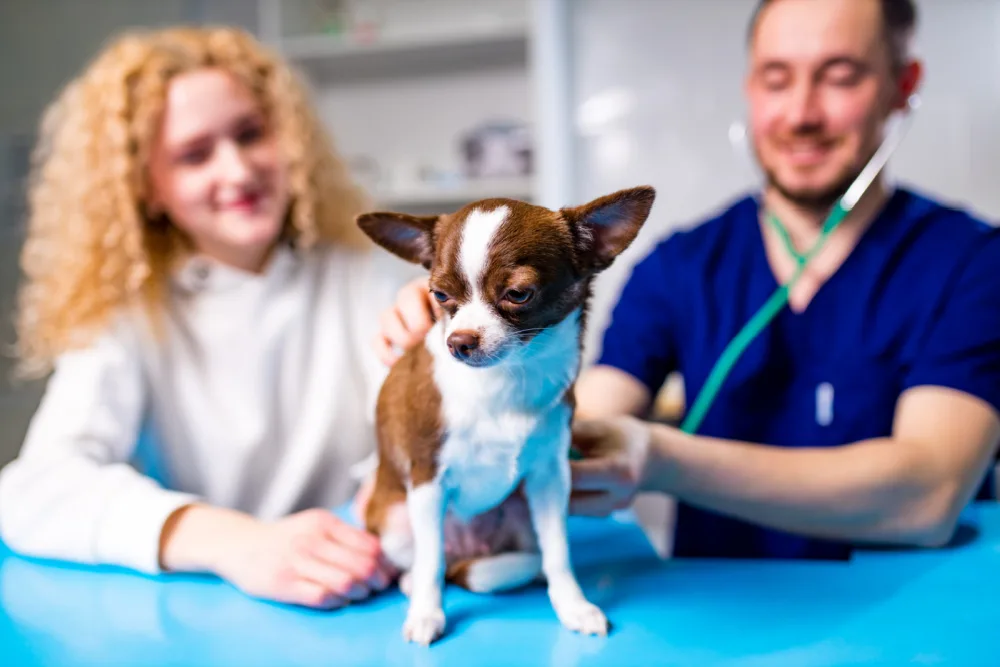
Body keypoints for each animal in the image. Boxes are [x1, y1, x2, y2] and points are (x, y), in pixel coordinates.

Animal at [356, 185, 652, 644]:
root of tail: (467, 552)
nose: (459, 342)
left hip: (520, 512)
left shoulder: (550, 479)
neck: (507, 379)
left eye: (518, 294)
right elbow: (429, 563)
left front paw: (572, 605)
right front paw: (426, 614)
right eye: (439, 296)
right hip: (393, 519)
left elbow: (558, 552)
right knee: (431, 560)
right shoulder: (427, 479)